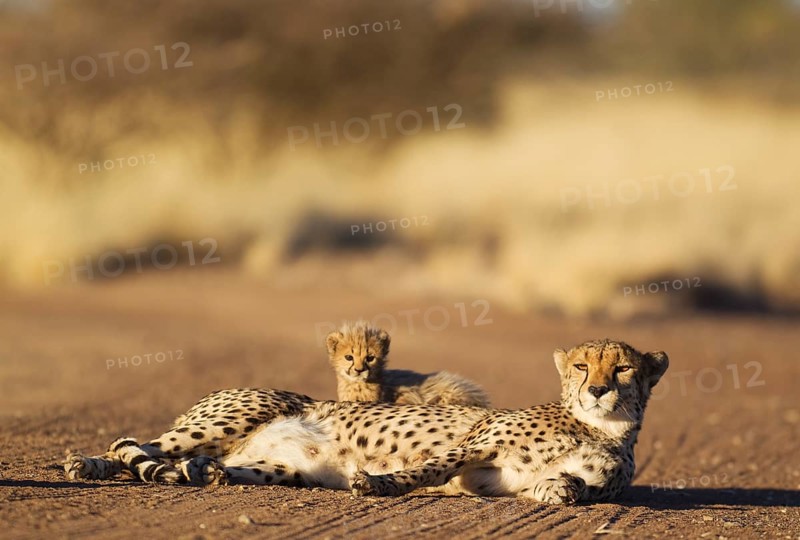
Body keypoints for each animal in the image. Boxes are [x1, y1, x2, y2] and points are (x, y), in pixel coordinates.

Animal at [63, 339, 667, 504]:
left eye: (623, 367)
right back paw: (84, 464)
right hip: (232, 416)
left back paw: (203, 474)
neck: (599, 427)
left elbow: (567, 488)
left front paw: (559, 488)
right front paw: (377, 483)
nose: (598, 389)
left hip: (282, 468)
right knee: (130, 443)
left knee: (201, 464)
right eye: (584, 365)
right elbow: (427, 470)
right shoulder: (473, 446)